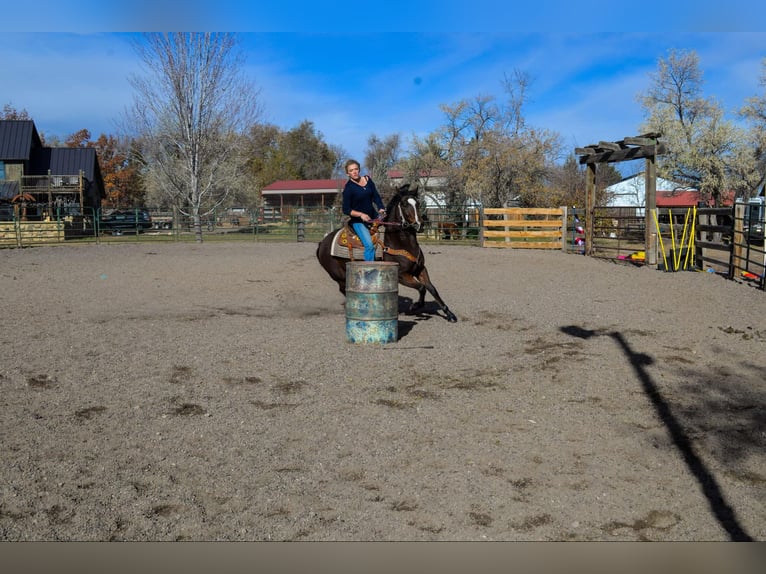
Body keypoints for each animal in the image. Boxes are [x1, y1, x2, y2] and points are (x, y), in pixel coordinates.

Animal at [316, 184, 458, 322]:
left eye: (417, 203)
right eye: (404, 204)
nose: (419, 225)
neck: (401, 243)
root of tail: (322, 243)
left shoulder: (420, 269)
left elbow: (432, 289)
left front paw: (449, 314)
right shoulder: (402, 275)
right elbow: (421, 287)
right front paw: (415, 306)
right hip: (339, 275)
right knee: (343, 289)